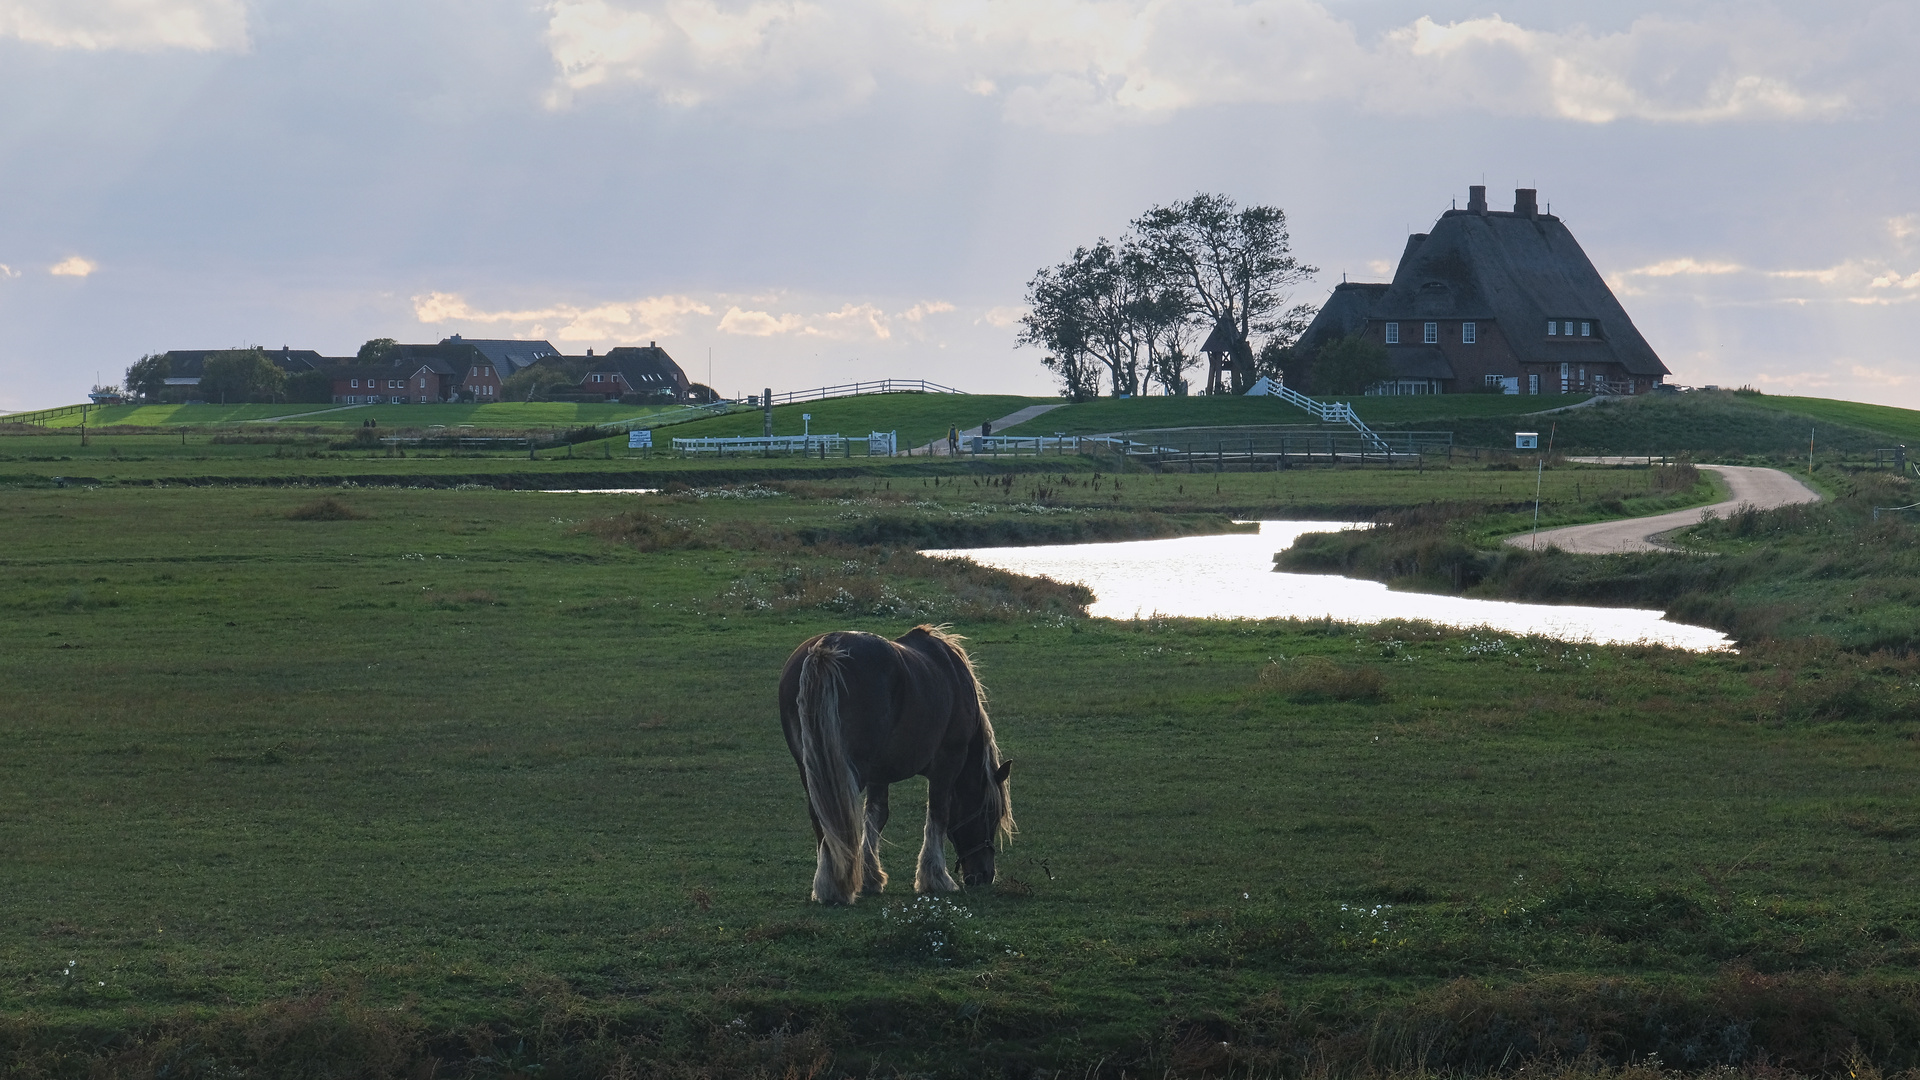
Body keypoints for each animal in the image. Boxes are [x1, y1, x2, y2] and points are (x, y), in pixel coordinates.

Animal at [779, 622, 1021, 899]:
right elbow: (938, 814)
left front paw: (871, 877)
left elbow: (876, 816)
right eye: (992, 813)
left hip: (812, 770)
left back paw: (827, 885)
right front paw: (935, 878)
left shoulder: (878, 774)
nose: (984, 875)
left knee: (820, 814)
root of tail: (825, 648)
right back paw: (836, 887)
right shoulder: (948, 762)